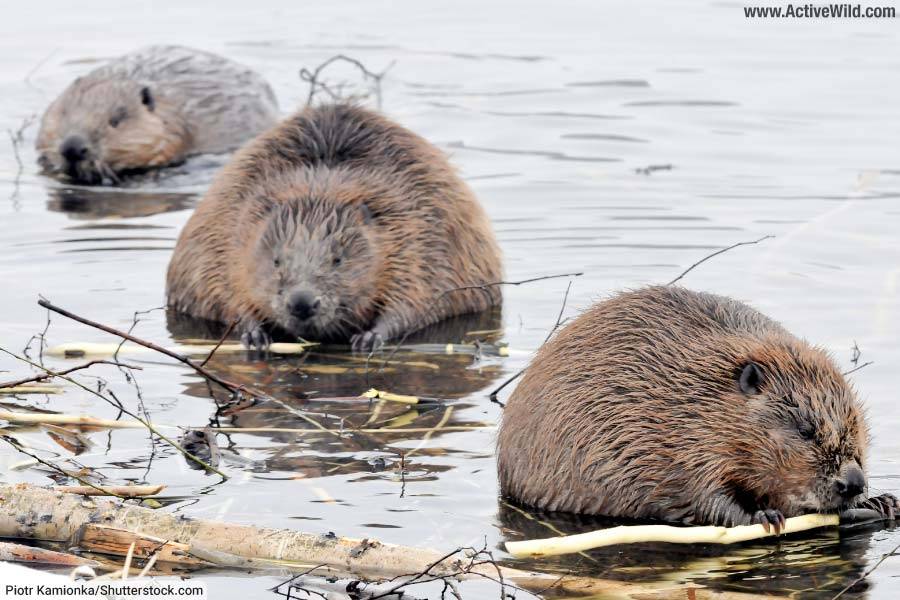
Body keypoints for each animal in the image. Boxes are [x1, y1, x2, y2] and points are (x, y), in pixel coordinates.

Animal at [165, 103, 502, 352]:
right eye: (276, 260)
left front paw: (369, 338)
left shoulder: (421, 232)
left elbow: (417, 297)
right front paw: (254, 336)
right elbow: (225, 290)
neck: (320, 193)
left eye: (338, 259)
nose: (302, 303)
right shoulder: (227, 227)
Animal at [496, 286, 896, 528]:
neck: (697, 396)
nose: (853, 482)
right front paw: (765, 516)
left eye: (858, 429)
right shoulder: (679, 445)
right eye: (805, 430)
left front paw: (882, 502)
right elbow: (705, 496)